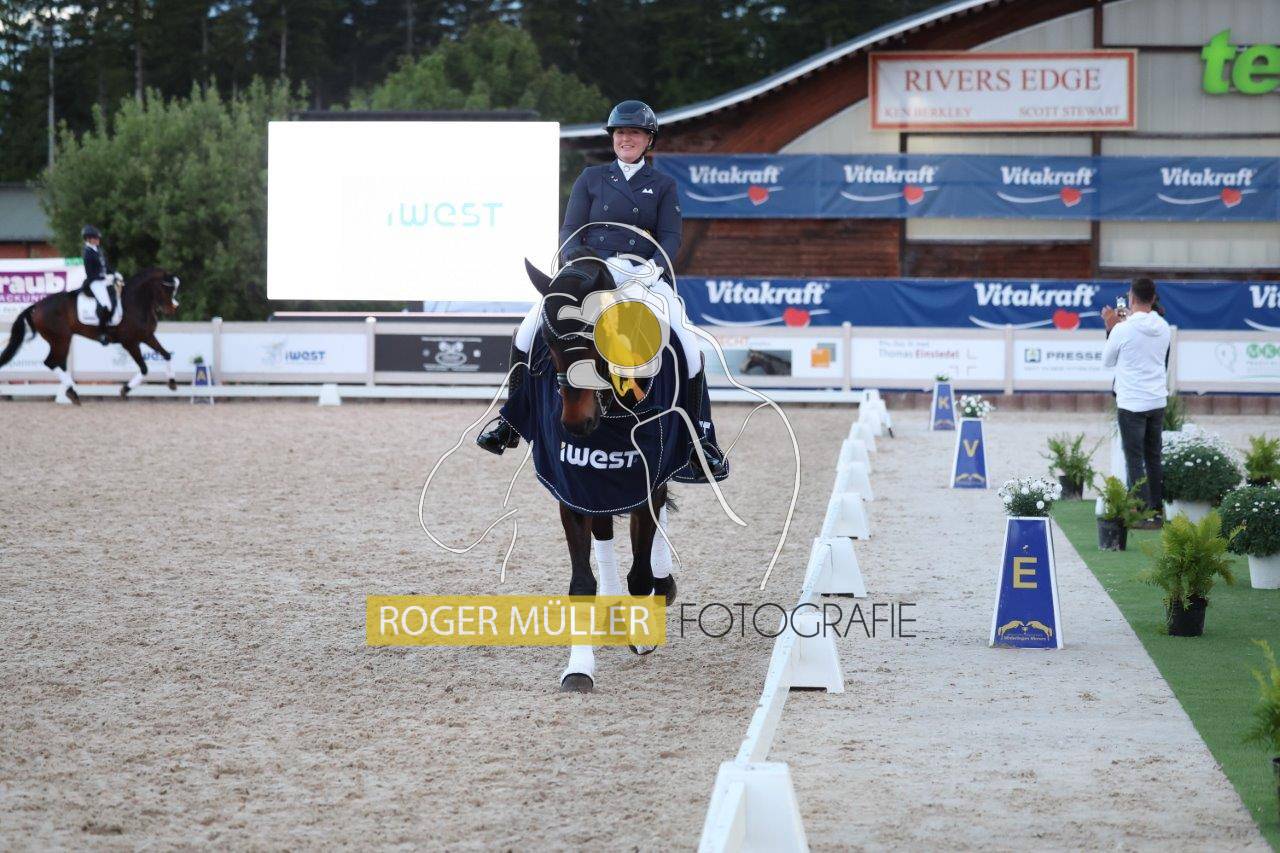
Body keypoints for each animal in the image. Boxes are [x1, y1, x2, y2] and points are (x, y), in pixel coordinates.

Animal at [0, 268, 181, 404]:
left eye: (173, 289)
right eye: (166, 288)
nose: (174, 308)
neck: (134, 303)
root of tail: (36, 306)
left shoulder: (147, 336)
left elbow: (166, 355)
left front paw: (172, 383)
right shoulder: (130, 342)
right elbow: (144, 368)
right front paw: (125, 389)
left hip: (61, 341)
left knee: (59, 364)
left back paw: (71, 392)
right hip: (60, 339)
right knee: (50, 362)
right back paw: (72, 393)